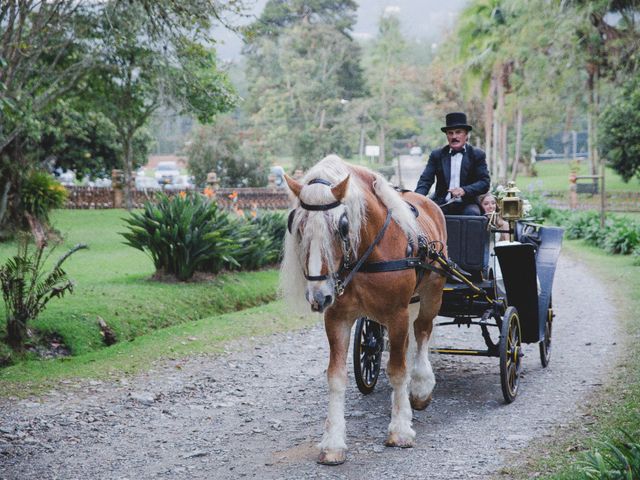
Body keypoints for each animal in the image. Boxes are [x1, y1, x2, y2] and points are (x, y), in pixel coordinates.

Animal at [282, 155, 448, 464]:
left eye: (342, 226)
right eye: (297, 227)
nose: (318, 296)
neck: (366, 256)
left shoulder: (396, 314)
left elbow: (397, 370)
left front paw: (400, 429)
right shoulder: (336, 318)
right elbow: (335, 377)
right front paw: (333, 443)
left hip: (432, 292)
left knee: (422, 332)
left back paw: (420, 386)